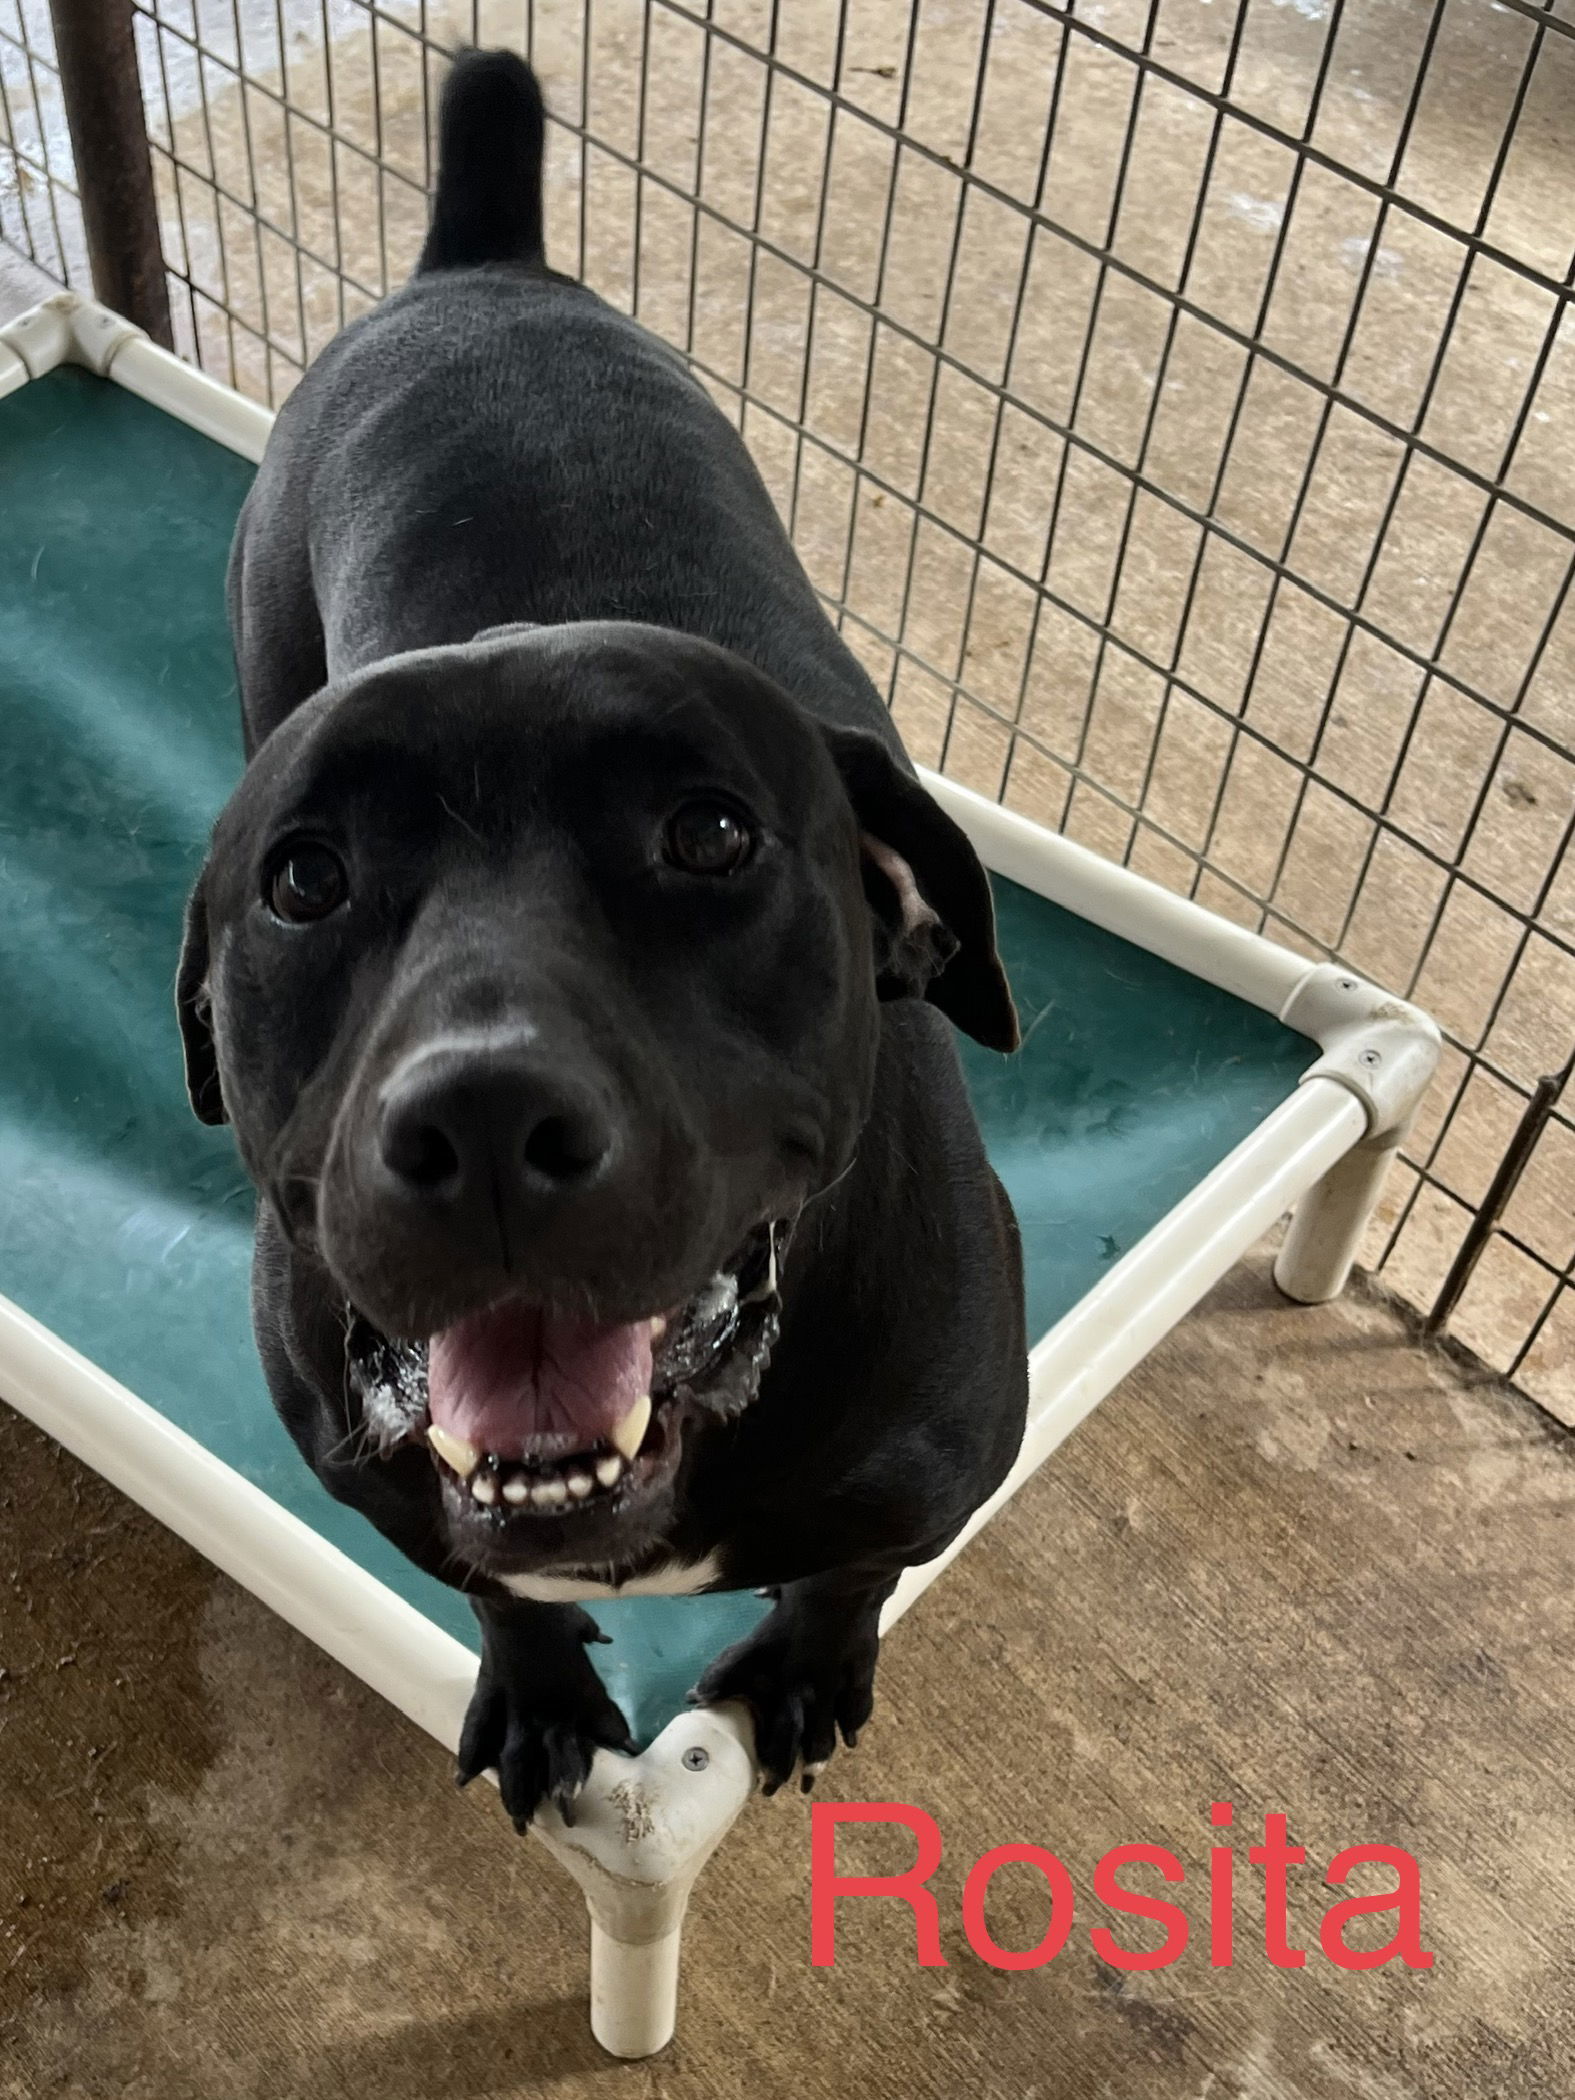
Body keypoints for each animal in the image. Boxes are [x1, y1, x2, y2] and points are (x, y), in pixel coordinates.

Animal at [175, 45, 1037, 1822]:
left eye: (708, 836)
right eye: (303, 880)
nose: (484, 1120)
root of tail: (481, 269)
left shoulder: (941, 1464)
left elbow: (854, 1567)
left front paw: (804, 1666)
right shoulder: (398, 1488)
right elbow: (492, 1583)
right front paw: (535, 1686)